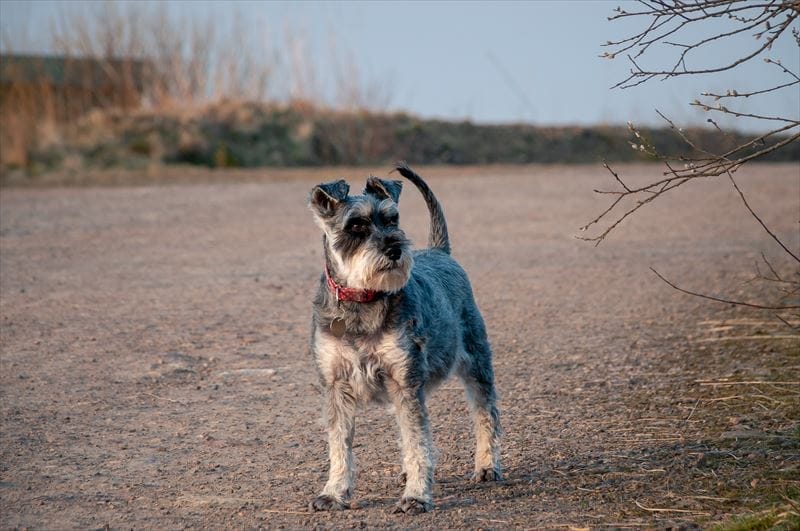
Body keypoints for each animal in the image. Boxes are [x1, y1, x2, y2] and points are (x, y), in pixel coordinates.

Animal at [306, 163, 500, 516]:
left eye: (392, 219)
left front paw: (416, 496)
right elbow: (339, 445)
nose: (395, 248)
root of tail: (439, 251)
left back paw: (487, 466)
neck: (362, 298)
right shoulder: (336, 385)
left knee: (486, 413)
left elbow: (417, 440)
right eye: (356, 225)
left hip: (476, 364)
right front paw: (333, 492)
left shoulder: (405, 381)